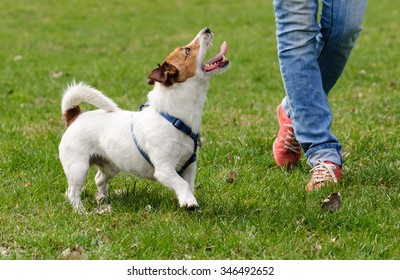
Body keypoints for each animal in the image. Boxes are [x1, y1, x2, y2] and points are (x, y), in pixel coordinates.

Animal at [57, 29, 230, 212]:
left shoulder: (189, 167)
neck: (175, 118)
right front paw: (189, 201)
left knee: (98, 179)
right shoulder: (164, 170)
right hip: (78, 167)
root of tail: (75, 116)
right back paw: (81, 211)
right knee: (73, 192)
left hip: (110, 166)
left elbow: (188, 185)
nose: (207, 29)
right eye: (187, 51)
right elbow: (181, 184)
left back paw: (103, 199)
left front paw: (189, 201)